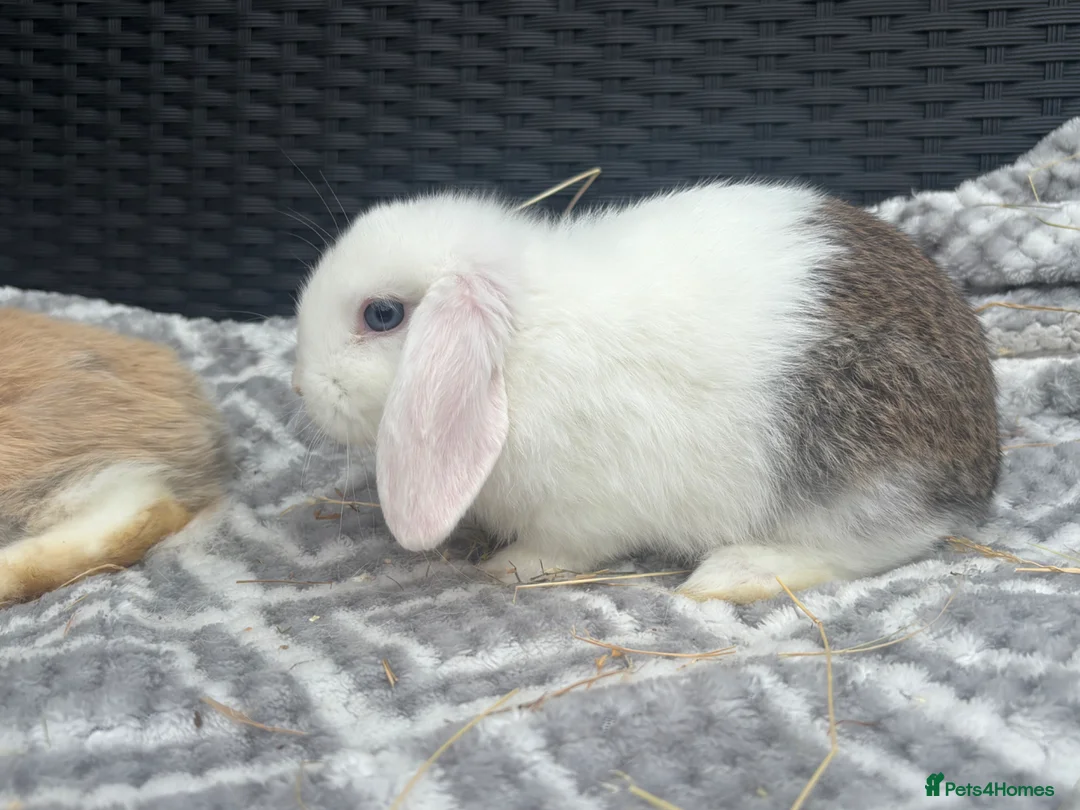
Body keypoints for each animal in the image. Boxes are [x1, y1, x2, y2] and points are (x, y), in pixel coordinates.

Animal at [291, 180, 999, 603]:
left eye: (382, 315)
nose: (300, 386)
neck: (518, 345)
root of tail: (981, 464)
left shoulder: (583, 514)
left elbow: (561, 549)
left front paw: (506, 566)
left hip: (854, 482)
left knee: (877, 545)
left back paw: (727, 575)